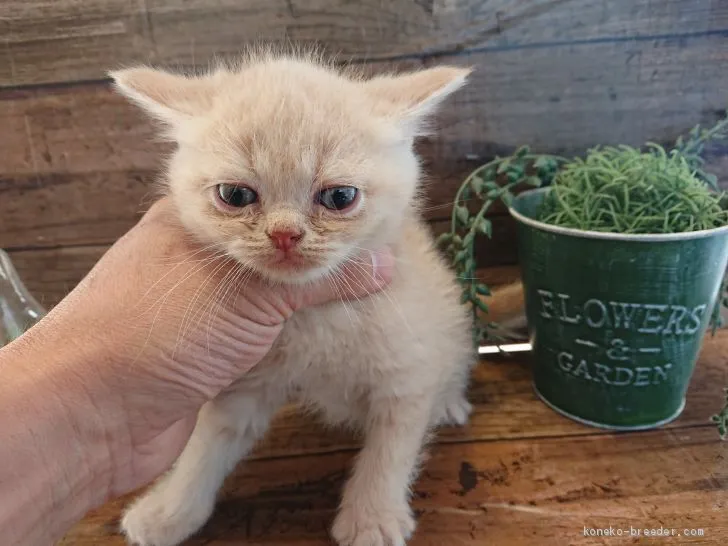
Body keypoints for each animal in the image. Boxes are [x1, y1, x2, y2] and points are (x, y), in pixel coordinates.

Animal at [112, 51, 478, 544]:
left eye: (340, 197)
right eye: (235, 195)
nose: (284, 234)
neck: (315, 319)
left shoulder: (408, 368)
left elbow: (391, 448)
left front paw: (372, 517)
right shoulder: (243, 384)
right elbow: (205, 446)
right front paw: (169, 511)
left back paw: (450, 401)